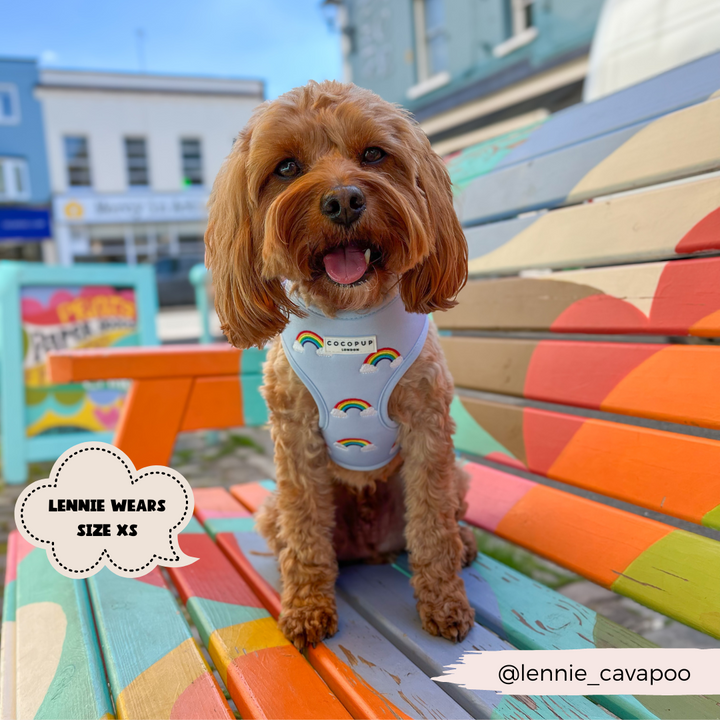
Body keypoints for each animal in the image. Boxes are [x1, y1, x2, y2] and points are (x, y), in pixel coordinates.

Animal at [207, 79, 478, 648]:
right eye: (286, 166)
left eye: (374, 154)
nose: (344, 199)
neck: (350, 320)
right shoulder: (296, 437)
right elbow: (307, 532)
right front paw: (308, 607)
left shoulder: (428, 428)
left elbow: (433, 527)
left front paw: (445, 603)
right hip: (270, 507)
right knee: (296, 536)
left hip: (459, 478)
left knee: (444, 521)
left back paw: (464, 544)